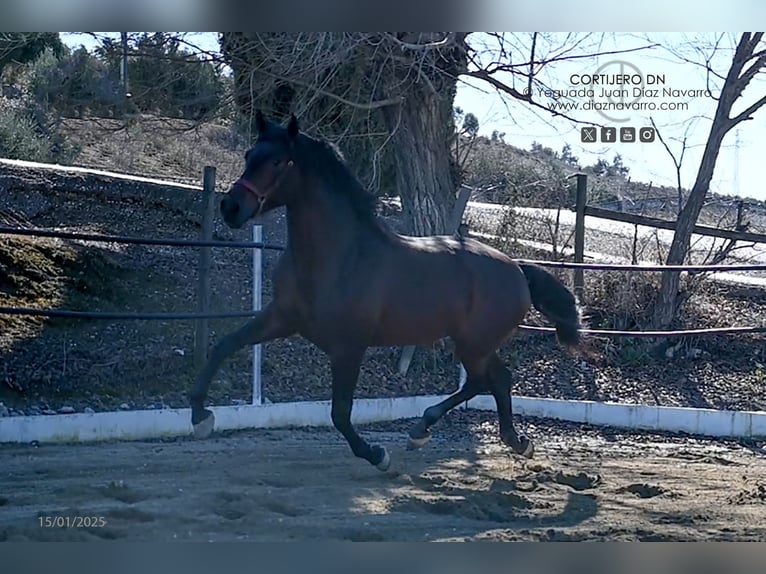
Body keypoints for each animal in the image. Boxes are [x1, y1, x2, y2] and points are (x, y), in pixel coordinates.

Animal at [190, 112, 584, 472]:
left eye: (276, 161)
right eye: (248, 155)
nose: (231, 207)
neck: (336, 257)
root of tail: (517, 268)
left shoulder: (348, 348)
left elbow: (340, 413)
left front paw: (377, 455)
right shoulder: (281, 318)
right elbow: (223, 345)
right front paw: (200, 417)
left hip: (475, 344)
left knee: (486, 380)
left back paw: (435, 431)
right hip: (474, 344)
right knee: (495, 380)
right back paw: (499, 439)